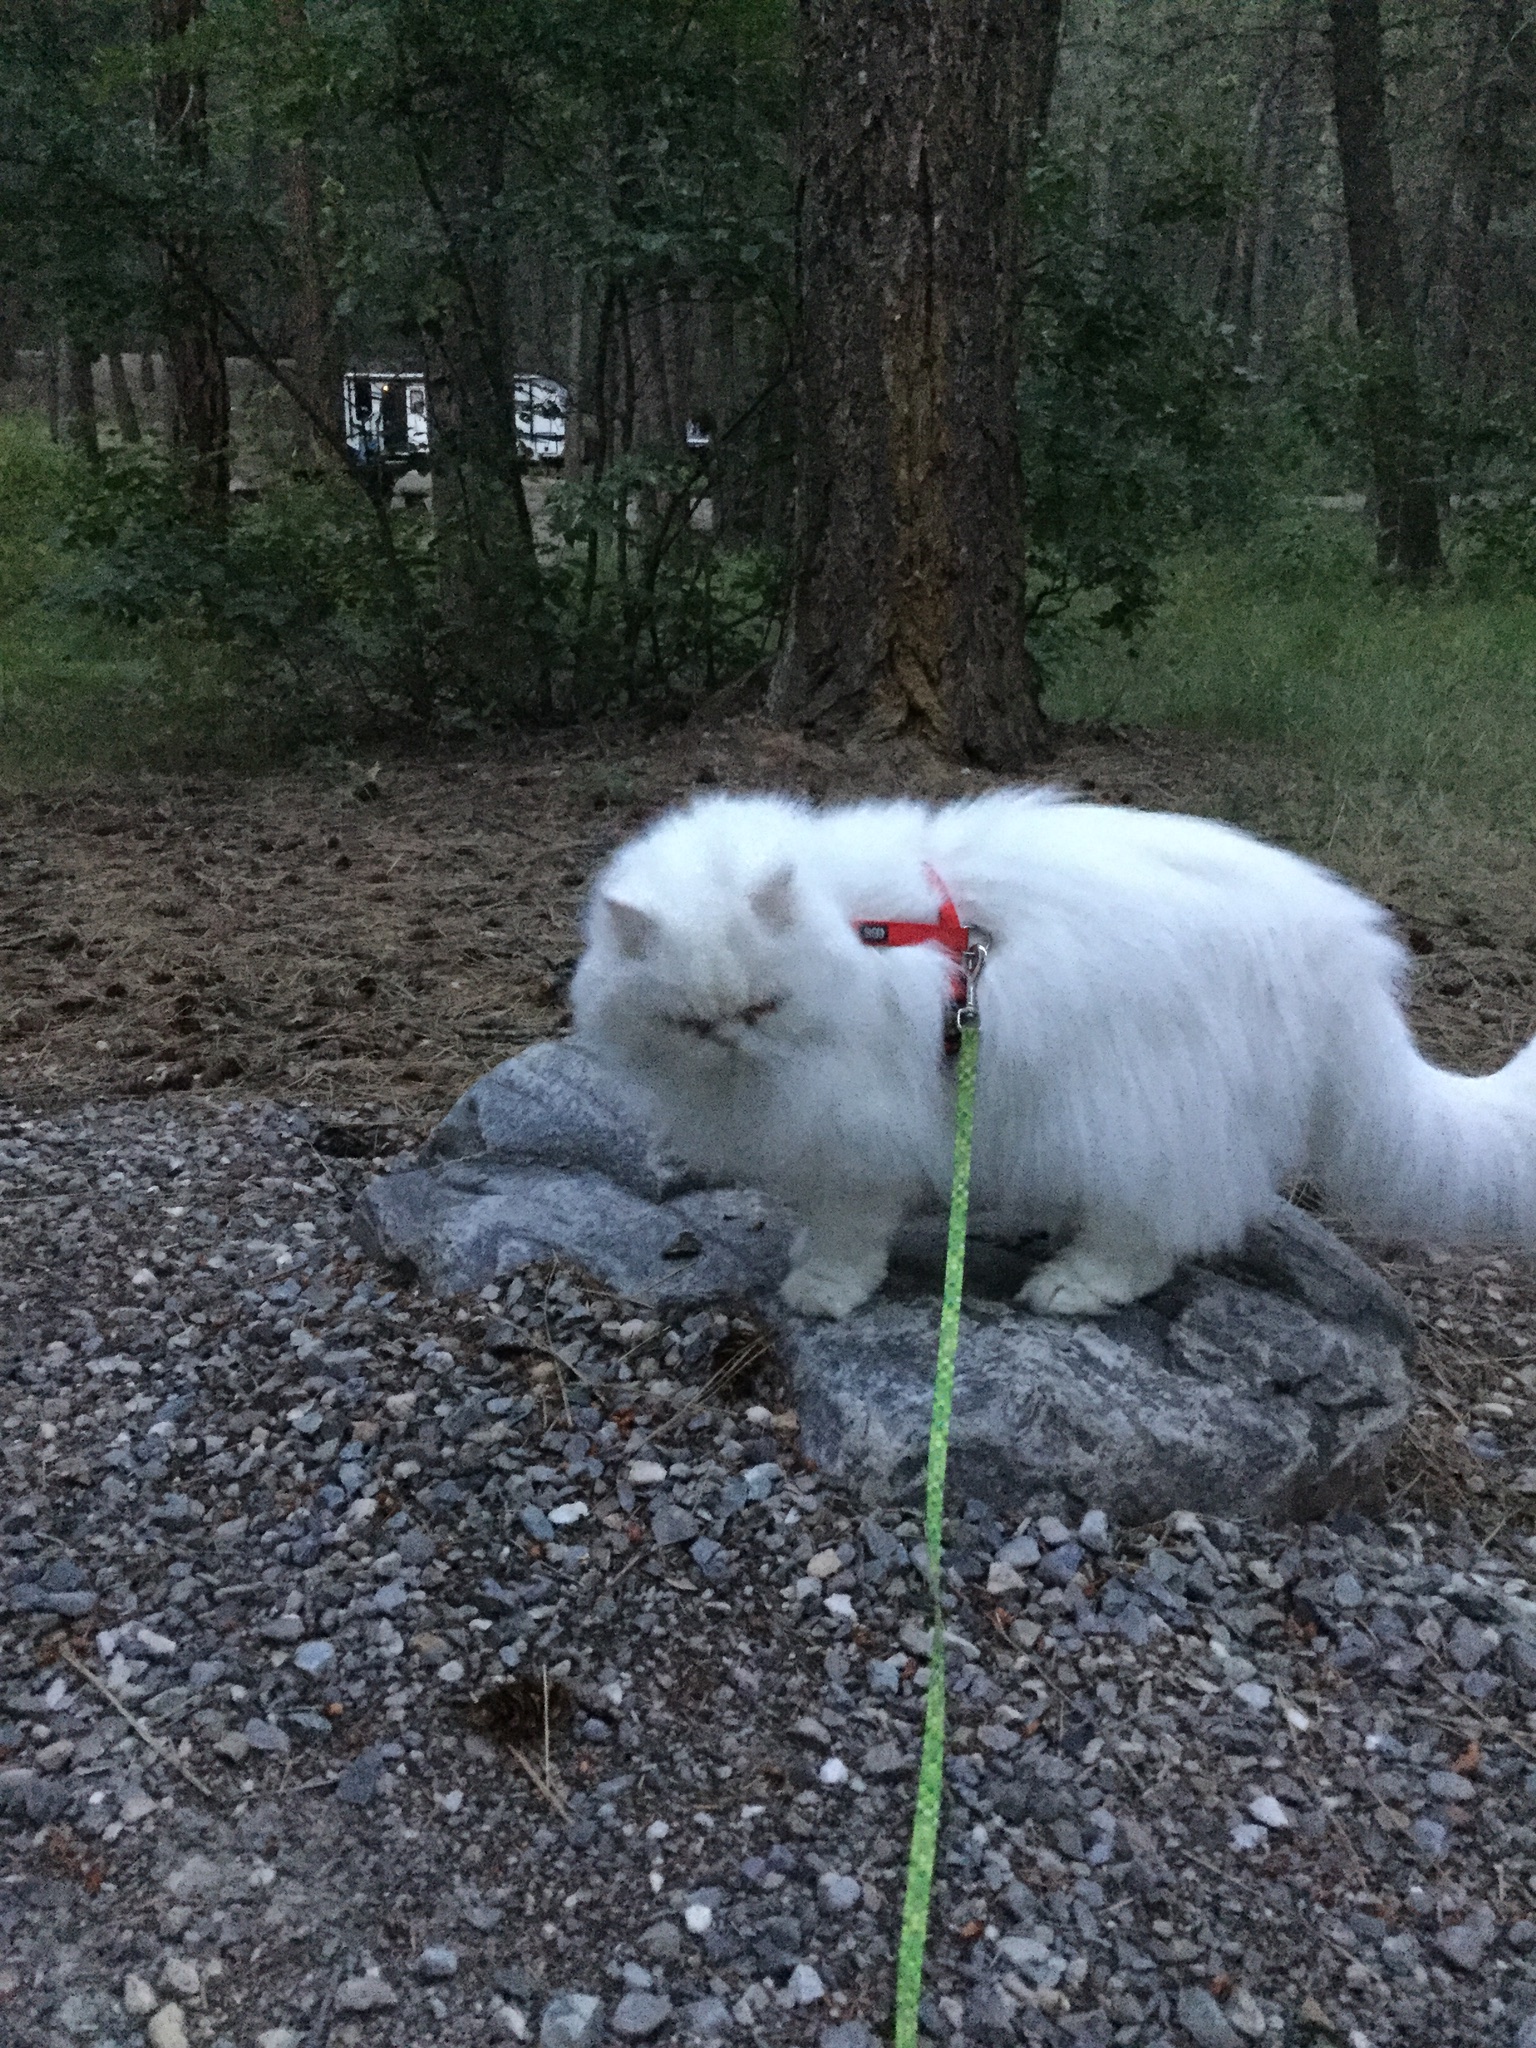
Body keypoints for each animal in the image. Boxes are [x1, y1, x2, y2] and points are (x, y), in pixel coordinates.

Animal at [570, 788, 1536, 1318]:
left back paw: (1073, 1283)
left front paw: (822, 1288)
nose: (730, 1037)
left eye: (759, 1008)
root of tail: (1350, 954)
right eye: (689, 1023)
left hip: (1149, 1118)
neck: (860, 931)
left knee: (1149, 1241)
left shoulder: (858, 1137)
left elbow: (846, 1233)